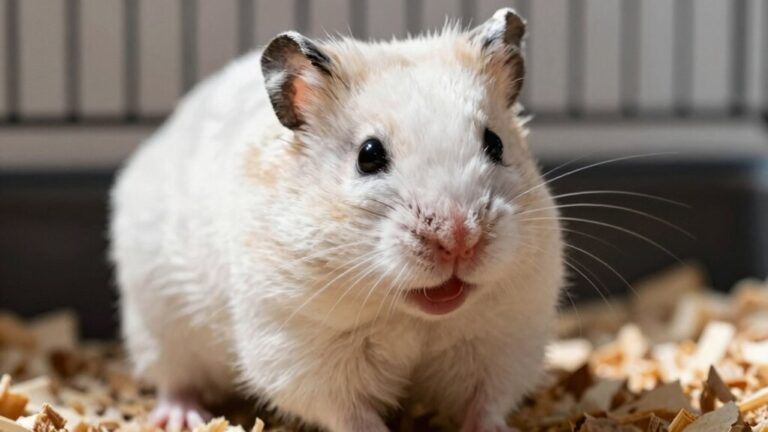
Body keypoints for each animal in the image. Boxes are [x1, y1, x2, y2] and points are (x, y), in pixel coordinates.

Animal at [110, 8, 564, 432]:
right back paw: (183, 417)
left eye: (495, 143)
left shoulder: (503, 339)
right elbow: (351, 413)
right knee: (174, 380)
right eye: (368, 155)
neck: (410, 314)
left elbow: (486, 403)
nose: (459, 240)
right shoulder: (303, 352)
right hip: (157, 325)